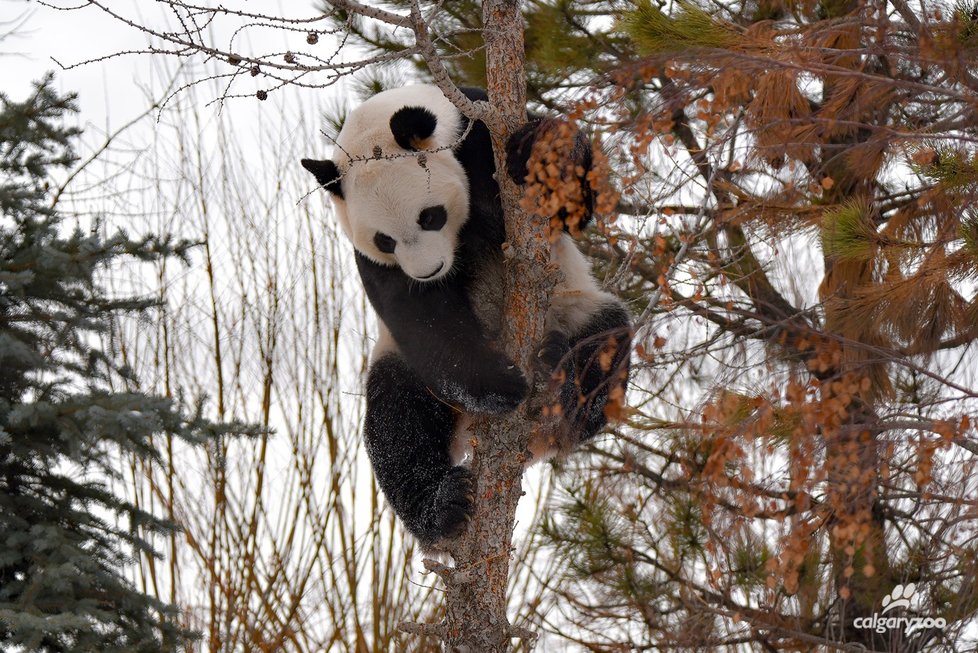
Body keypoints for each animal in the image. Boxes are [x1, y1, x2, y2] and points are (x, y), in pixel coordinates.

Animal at [302, 84, 628, 548]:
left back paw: (558, 386)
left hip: (574, 306)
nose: (428, 271)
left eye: (430, 216)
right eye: (385, 240)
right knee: (397, 422)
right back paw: (443, 505)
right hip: (405, 367)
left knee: (605, 346)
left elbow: (574, 206)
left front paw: (540, 152)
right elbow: (420, 315)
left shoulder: (476, 134)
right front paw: (501, 384)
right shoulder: (374, 261)